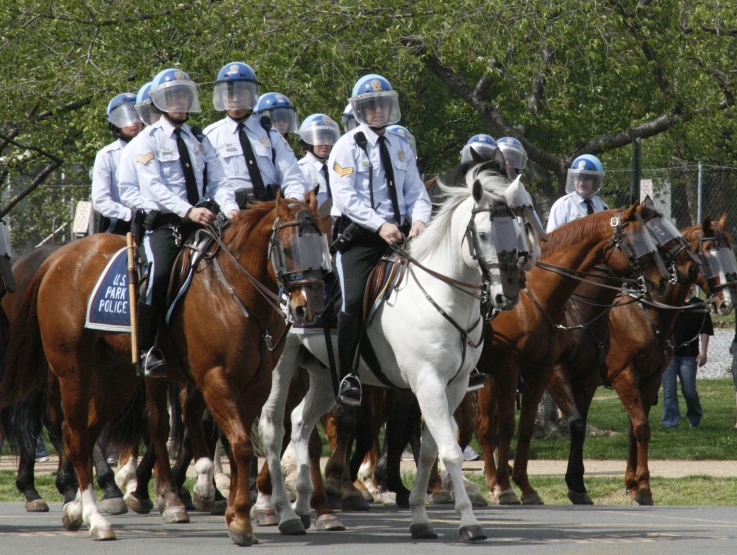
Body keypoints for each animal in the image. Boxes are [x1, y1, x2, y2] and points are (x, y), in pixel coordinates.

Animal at [0, 194, 324, 544]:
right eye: (288, 248)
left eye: (322, 244)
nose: (309, 307)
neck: (232, 291)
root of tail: (58, 258)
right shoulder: (214, 380)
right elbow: (239, 444)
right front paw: (236, 516)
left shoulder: (256, 386)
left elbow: (242, 446)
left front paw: (235, 512)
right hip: (73, 371)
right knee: (73, 434)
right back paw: (96, 517)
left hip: (116, 379)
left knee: (87, 433)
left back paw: (77, 509)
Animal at [258, 164, 540, 544]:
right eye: (482, 234)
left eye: (518, 229)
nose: (506, 295)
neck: (442, 296)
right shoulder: (428, 383)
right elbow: (449, 450)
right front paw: (468, 522)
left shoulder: (453, 386)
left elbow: (429, 451)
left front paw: (420, 517)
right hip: (281, 368)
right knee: (273, 425)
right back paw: (283, 512)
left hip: (327, 375)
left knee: (301, 421)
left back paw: (306, 506)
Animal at [472, 202, 684, 506]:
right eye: (639, 239)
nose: (664, 281)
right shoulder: (533, 371)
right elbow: (517, 426)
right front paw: (509, 488)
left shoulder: (577, 375)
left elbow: (559, 427)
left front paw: (570, 486)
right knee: (484, 427)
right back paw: (487, 484)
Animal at [548, 215, 732, 506]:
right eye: (709, 251)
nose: (727, 302)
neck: (645, 309)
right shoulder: (623, 376)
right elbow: (641, 427)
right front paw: (643, 488)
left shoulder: (650, 378)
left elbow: (636, 429)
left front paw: (634, 484)